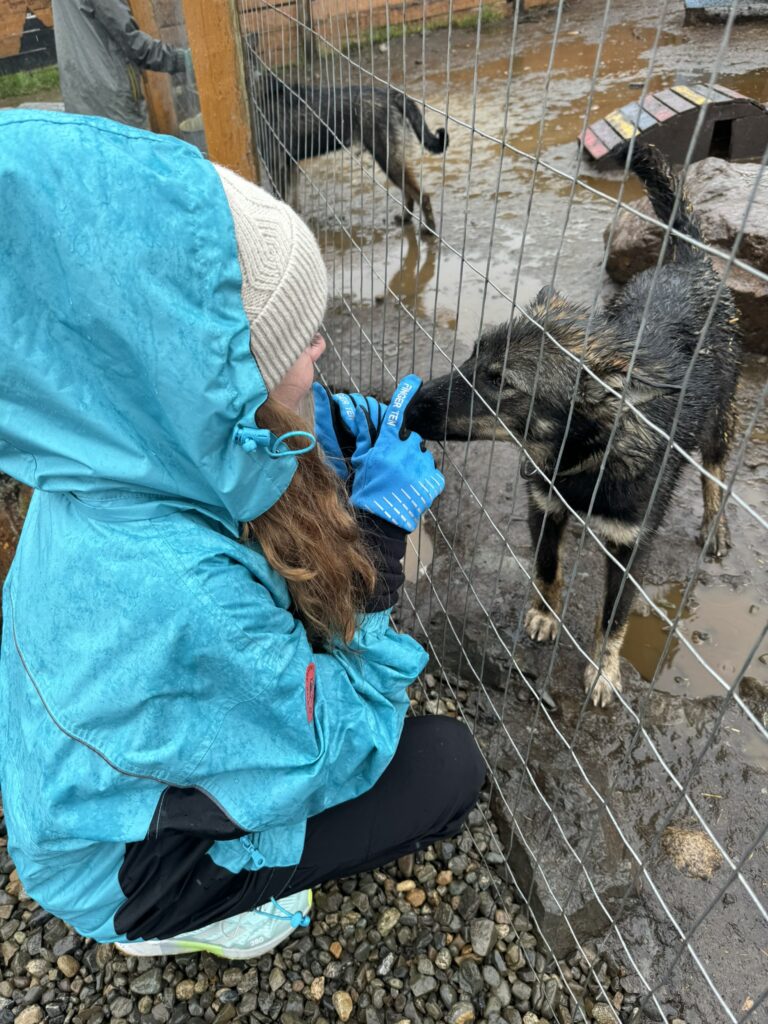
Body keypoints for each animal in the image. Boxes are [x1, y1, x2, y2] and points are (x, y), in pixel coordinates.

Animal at [249, 69, 448, 233]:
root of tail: (390, 94)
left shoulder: (277, 167)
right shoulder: (290, 165)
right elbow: (293, 204)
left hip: (387, 159)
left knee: (422, 195)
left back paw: (429, 229)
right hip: (393, 160)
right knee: (409, 192)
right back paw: (406, 218)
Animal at [405, 142, 741, 704]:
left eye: (502, 383)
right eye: (472, 356)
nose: (406, 409)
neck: (586, 454)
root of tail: (691, 262)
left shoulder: (630, 549)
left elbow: (614, 618)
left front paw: (604, 672)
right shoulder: (543, 506)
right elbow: (546, 568)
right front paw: (544, 615)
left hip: (723, 416)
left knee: (714, 472)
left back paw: (715, 526)